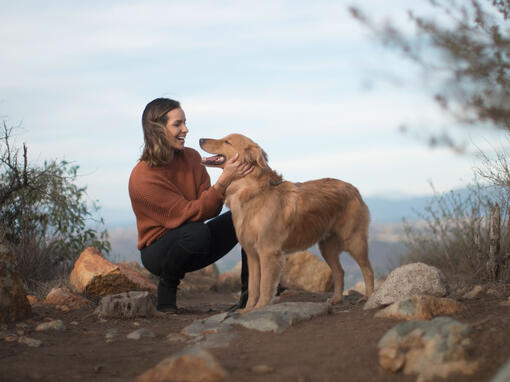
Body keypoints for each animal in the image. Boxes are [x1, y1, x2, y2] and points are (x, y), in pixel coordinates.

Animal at [200, 133, 374, 312]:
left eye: (227, 141)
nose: (200, 140)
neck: (253, 191)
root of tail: (354, 188)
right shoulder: (252, 254)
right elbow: (253, 286)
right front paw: (248, 310)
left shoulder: (268, 252)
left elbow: (264, 286)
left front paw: (260, 308)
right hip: (327, 248)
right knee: (339, 271)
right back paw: (337, 299)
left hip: (354, 241)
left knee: (368, 270)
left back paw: (368, 297)